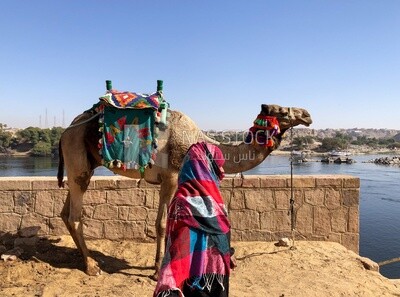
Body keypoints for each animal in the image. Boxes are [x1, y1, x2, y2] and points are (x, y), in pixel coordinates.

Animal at [57, 103, 312, 276]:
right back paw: (91, 266)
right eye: (282, 110)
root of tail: (65, 131)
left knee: (66, 210)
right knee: (75, 214)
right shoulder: (170, 176)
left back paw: (82, 257)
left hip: (83, 163)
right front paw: (158, 270)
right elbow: (162, 223)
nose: (307, 115)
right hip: (76, 151)